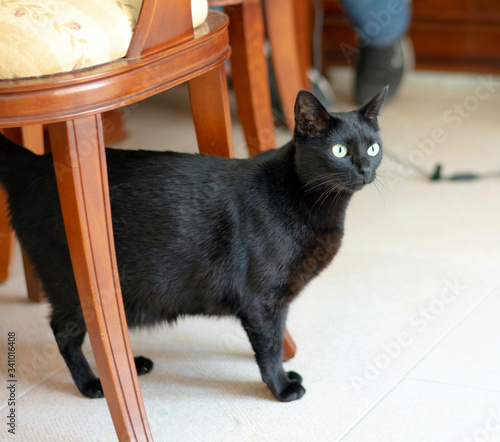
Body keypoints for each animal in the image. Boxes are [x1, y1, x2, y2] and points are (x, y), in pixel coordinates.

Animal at [0, 88, 386, 402]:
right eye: (339, 151)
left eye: (373, 147)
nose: (365, 169)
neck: (315, 205)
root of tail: (36, 161)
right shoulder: (262, 301)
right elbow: (270, 347)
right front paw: (280, 387)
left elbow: (276, 342)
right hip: (77, 285)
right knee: (64, 332)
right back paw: (92, 384)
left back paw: (130, 366)